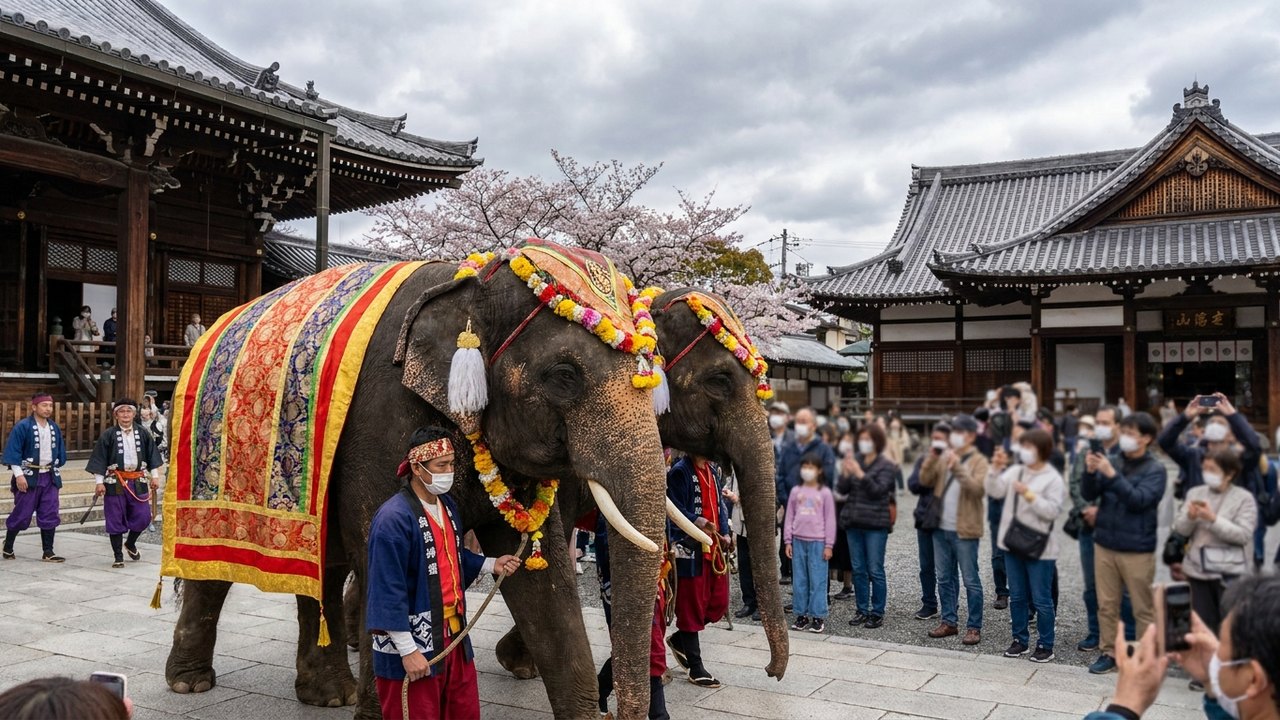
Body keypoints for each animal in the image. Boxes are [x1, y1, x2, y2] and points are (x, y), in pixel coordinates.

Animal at [163, 248, 669, 720]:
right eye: (565, 375)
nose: (616, 707)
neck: (473, 282)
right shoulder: (381, 422)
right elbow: (380, 558)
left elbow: (543, 581)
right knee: (211, 568)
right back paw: (191, 683)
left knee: (322, 571)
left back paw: (328, 695)